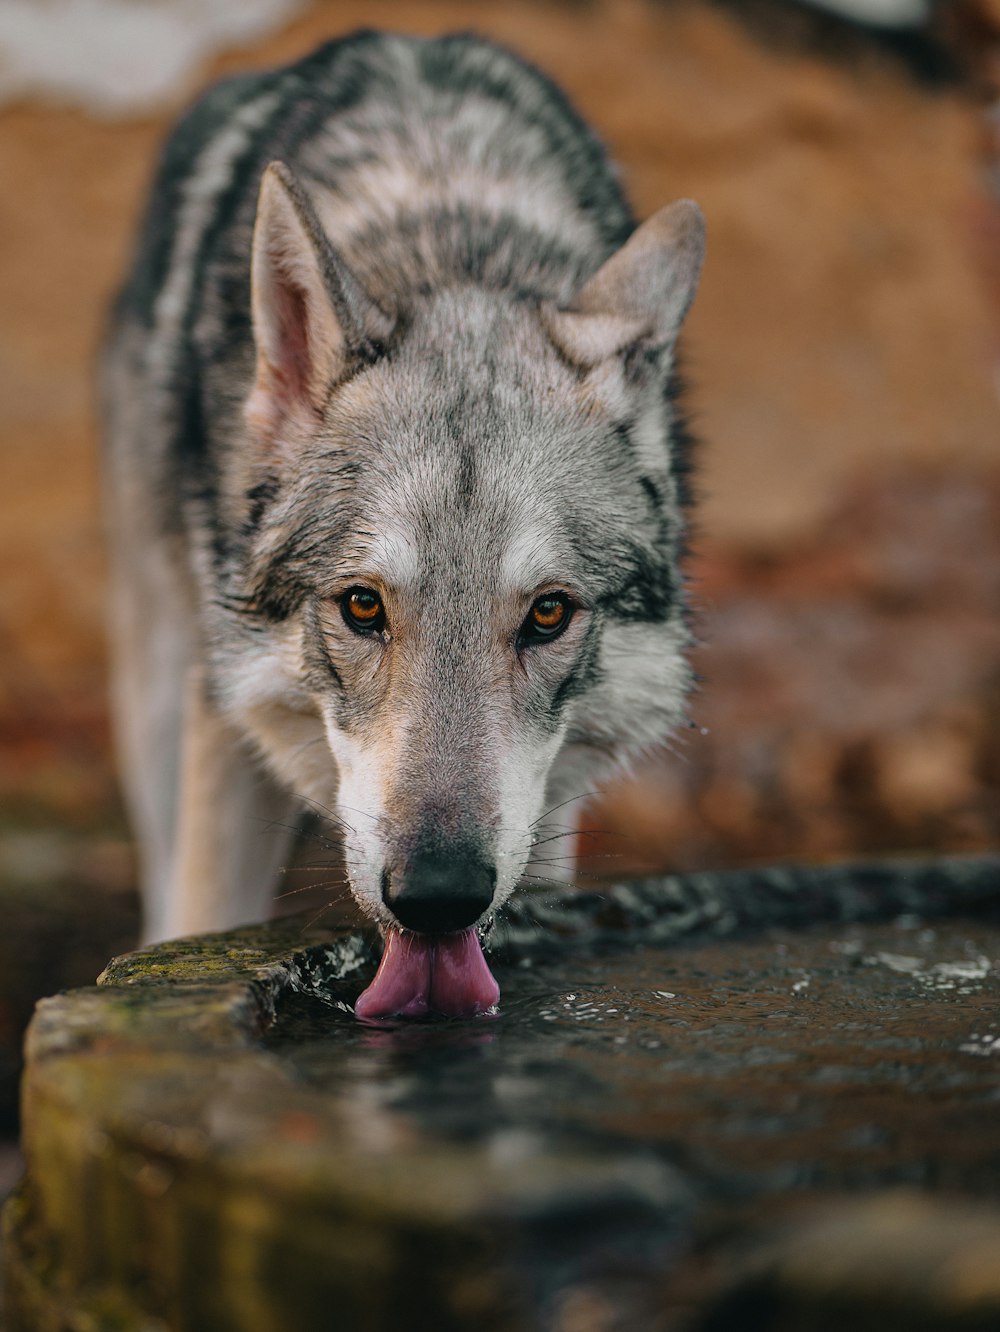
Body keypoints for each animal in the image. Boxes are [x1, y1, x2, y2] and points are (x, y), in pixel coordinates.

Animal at [103, 31, 703, 1012]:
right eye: (361, 606)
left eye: (547, 614)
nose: (438, 895)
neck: (451, 249)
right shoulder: (222, 736)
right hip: (160, 693)